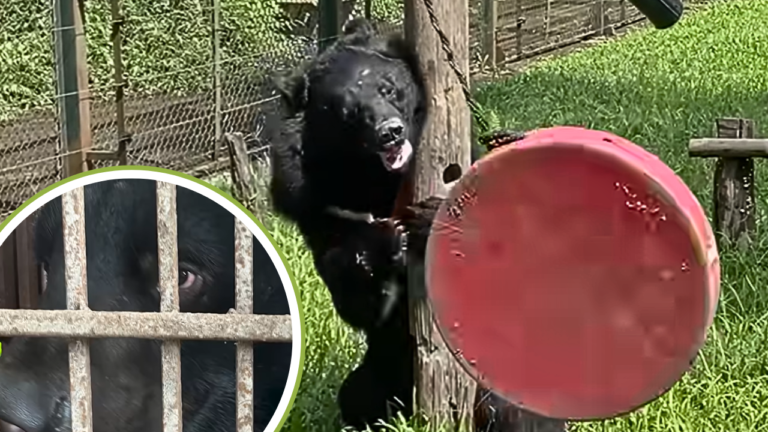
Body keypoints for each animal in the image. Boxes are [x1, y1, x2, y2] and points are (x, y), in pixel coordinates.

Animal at [268, 17, 427, 430]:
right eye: (349, 113)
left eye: (388, 88)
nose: (390, 132)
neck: (373, 180)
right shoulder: (316, 207)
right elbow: (353, 295)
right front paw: (387, 242)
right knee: (356, 395)